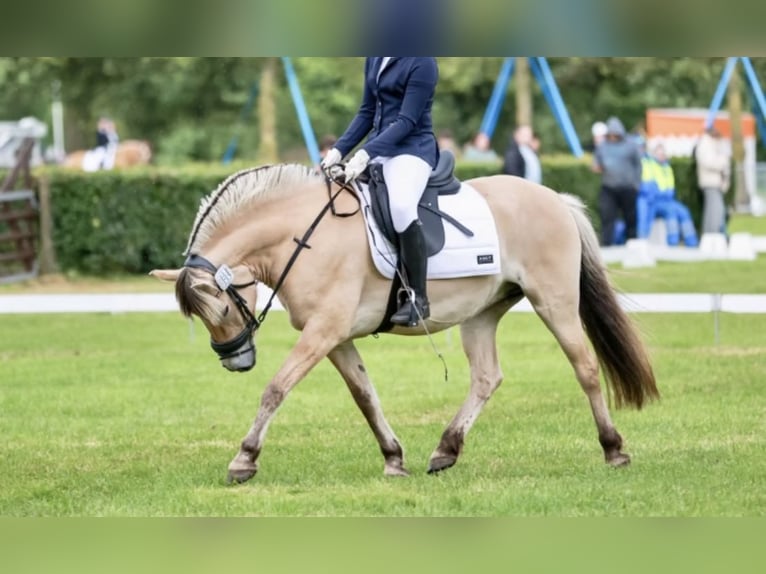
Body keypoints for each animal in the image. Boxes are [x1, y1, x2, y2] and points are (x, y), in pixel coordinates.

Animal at [150, 164, 660, 484]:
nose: (235, 361)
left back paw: (614, 449)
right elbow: (365, 396)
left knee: (585, 368)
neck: (301, 236)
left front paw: (244, 460)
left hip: (554, 301)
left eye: (222, 310)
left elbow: (276, 388)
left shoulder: (323, 331)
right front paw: (394, 459)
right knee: (487, 377)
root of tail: (555, 198)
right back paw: (446, 450)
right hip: (481, 312)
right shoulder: (335, 338)